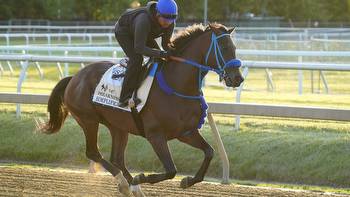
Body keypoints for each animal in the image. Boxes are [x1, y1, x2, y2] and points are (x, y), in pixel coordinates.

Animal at [39, 22, 243, 195]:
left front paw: (187, 181)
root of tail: (74, 77)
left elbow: (209, 151)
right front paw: (142, 177)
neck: (176, 85)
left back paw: (132, 187)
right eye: (224, 47)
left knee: (117, 158)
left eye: (234, 48)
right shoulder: (155, 135)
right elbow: (171, 170)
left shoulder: (186, 132)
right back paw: (125, 183)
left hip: (118, 126)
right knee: (93, 152)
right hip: (88, 120)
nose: (238, 78)